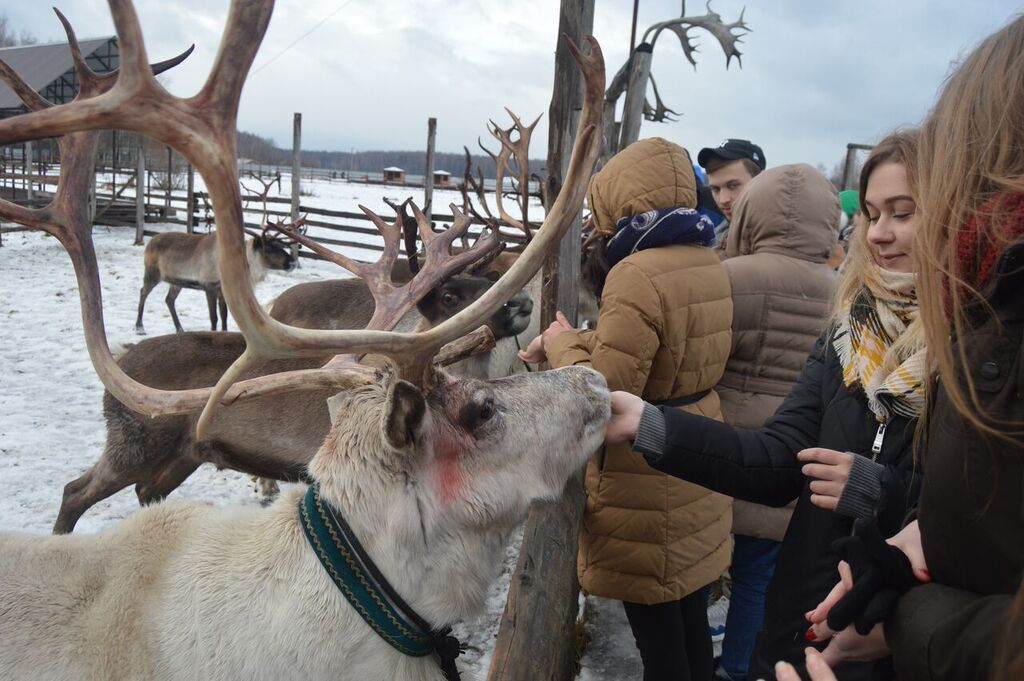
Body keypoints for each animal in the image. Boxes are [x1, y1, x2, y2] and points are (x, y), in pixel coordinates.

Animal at [135, 228, 297, 334]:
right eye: (268, 248)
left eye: (280, 245)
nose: (293, 262)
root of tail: (149, 243)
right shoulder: (209, 285)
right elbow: (214, 317)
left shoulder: (222, 290)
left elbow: (224, 315)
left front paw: (224, 332)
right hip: (152, 273)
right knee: (143, 292)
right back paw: (139, 327)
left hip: (176, 282)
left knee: (169, 300)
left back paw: (180, 329)